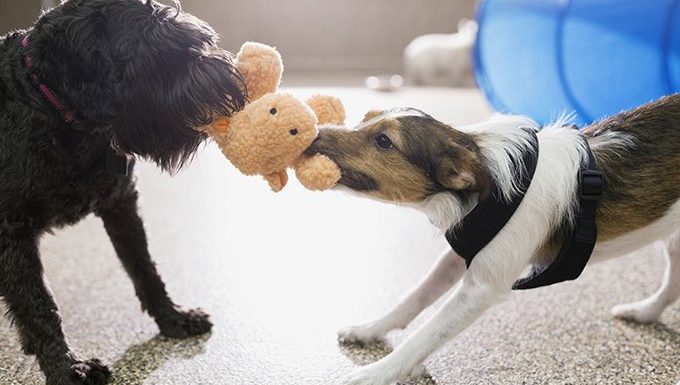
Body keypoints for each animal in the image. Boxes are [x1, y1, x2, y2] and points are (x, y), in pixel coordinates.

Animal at [0, 0, 244, 384]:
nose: (227, 76)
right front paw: (68, 369)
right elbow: (39, 306)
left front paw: (173, 318)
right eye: (158, 58)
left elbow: (144, 267)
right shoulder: (13, 235)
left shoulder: (121, 203)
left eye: (199, 41)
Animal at [306, 94, 676, 384]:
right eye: (364, 119)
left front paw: (373, 374)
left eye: (384, 141)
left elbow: (425, 335)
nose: (312, 133)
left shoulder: (481, 289)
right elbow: (414, 297)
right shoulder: (461, 253)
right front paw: (370, 329)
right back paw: (643, 312)